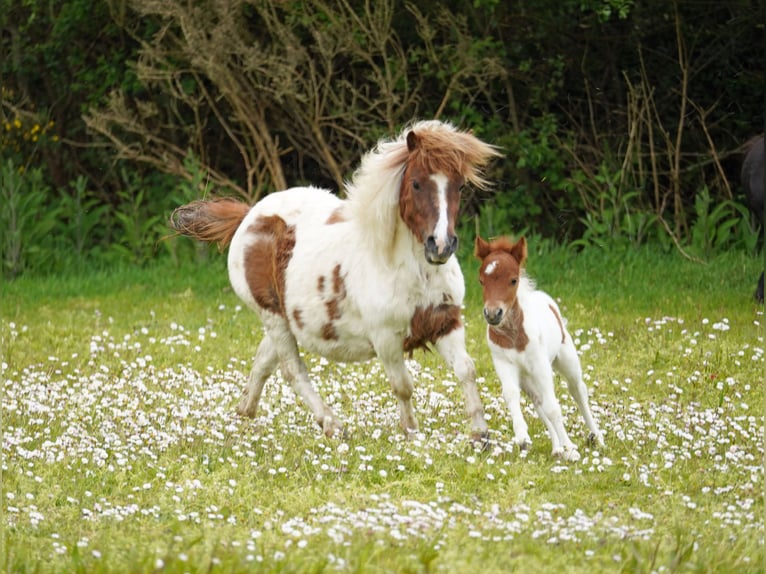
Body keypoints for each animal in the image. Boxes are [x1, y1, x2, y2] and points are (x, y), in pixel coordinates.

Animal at [170, 120, 501, 442]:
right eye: (417, 183)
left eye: (460, 185)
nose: (441, 246)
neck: (411, 270)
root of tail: (250, 215)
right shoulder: (386, 339)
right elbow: (403, 386)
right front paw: (410, 434)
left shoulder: (445, 322)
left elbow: (466, 370)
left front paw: (480, 435)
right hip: (272, 316)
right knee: (292, 371)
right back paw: (332, 425)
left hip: (284, 320)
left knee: (264, 361)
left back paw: (244, 414)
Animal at [474, 235, 604, 460]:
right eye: (482, 280)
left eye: (513, 280)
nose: (492, 314)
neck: (513, 334)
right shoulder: (504, 363)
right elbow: (512, 395)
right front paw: (522, 437)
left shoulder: (540, 366)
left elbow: (553, 408)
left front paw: (571, 449)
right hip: (527, 379)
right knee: (539, 402)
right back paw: (557, 449)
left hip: (566, 360)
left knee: (578, 392)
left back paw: (597, 438)